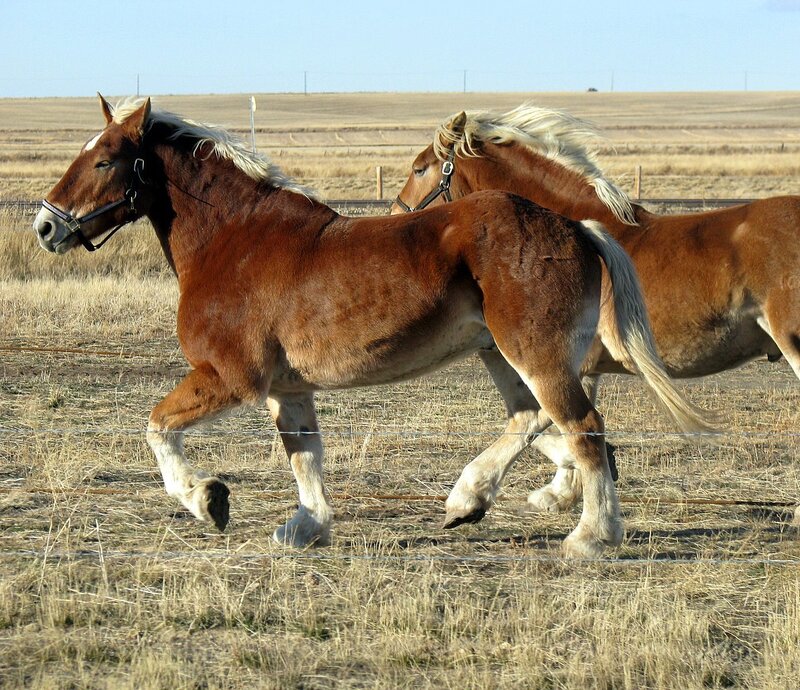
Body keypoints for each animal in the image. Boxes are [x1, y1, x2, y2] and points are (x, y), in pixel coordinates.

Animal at [33, 95, 709, 558]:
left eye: (105, 160)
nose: (46, 226)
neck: (235, 240)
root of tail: (576, 226)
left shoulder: (230, 376)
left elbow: (157, 428)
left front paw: (207, 499)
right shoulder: (288, 389)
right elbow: (304, 454)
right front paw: (307, 526)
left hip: (533, 353)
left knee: (584, 428)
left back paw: (592, 535)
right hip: (500, 354)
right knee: (530, 418)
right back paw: (467, 500)